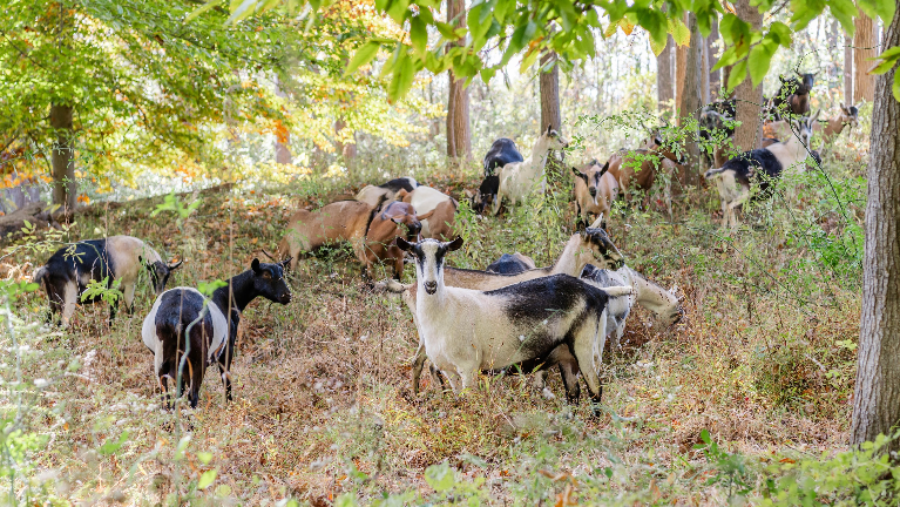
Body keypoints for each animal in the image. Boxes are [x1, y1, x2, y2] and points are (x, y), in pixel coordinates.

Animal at [34, 236, 182, 326]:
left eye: (167, 277)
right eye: (153, 276)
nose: (158, 294)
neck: (134, 254)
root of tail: (48, 267)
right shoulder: (122, 287)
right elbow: (121, 310)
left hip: (52, 299)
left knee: (48, 319)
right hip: (68, 298)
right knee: (62, 324)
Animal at [141, 258, 292, 408]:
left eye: (282, 273)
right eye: (266, 275)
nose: (287, 296)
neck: (226, 297)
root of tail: (174, 315)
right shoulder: (227, 347)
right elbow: (226, 378)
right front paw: (229, 404)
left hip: (163, 358)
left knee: (165, 395)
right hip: (197, 357)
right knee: (192, 394)